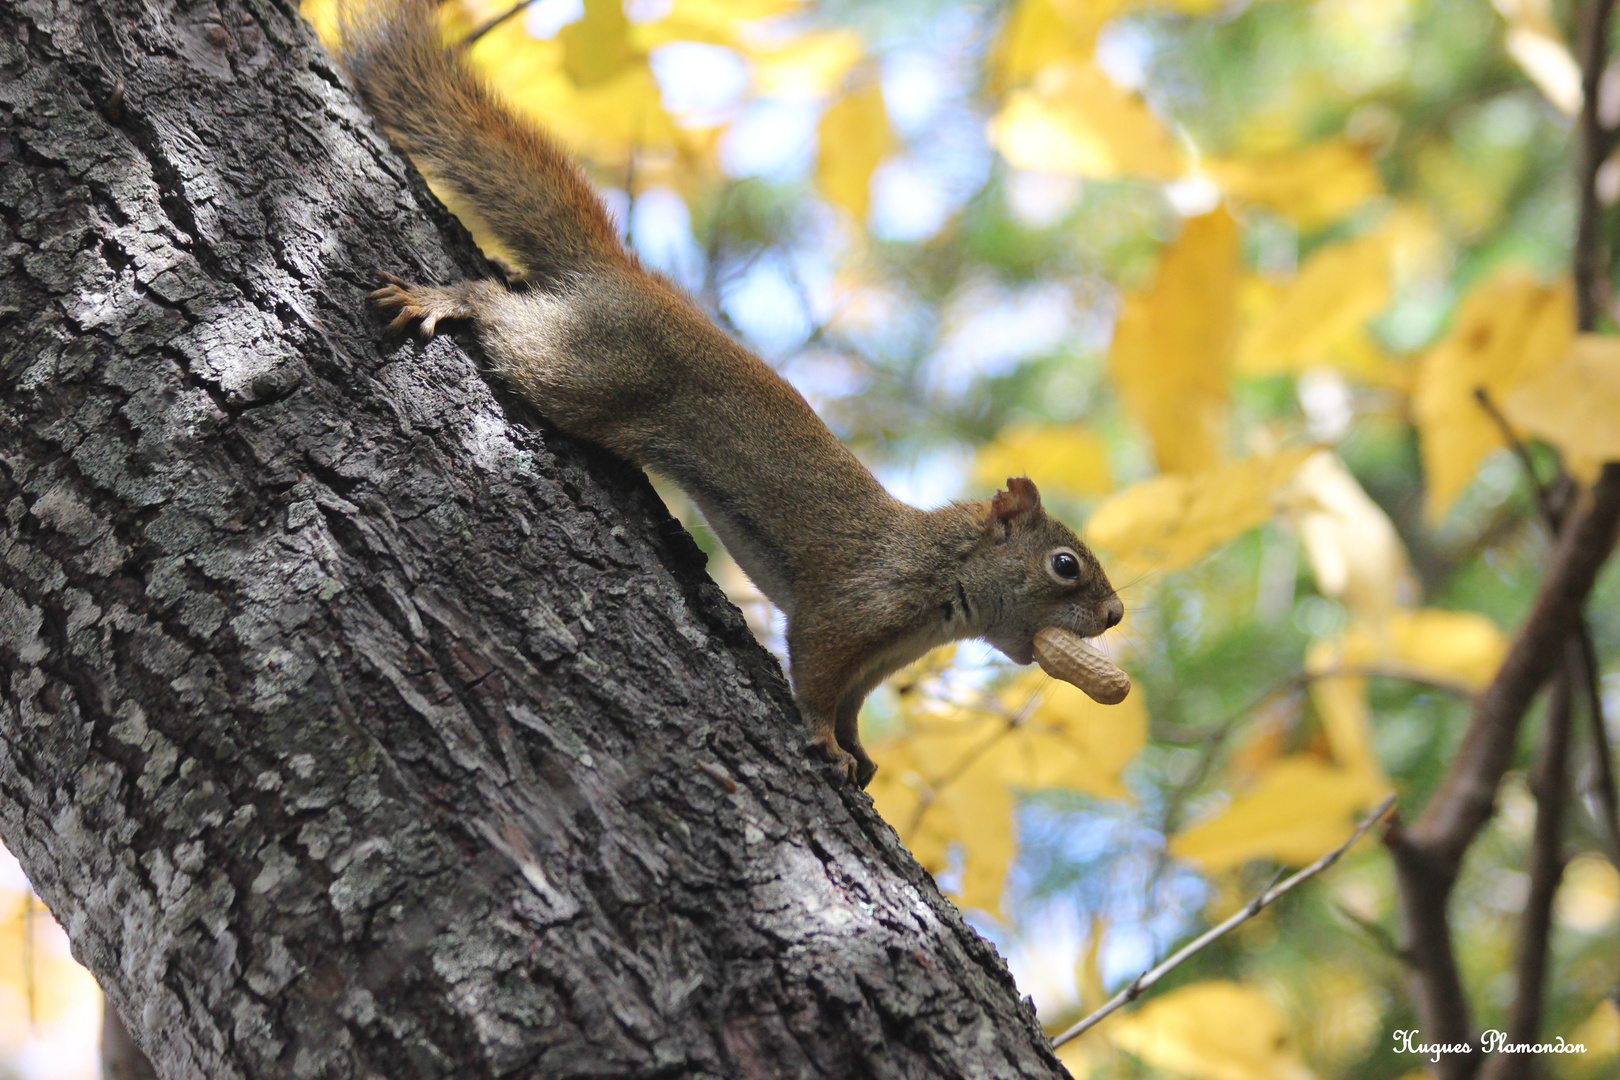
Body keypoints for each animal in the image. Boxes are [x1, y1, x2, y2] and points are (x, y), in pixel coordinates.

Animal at [336, 4, 1134, 790]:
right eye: (1065, 566)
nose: (1117, 613)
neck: (943, 582)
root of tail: (622, 276)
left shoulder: (873, 665)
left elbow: (850, 705)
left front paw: (858, 752)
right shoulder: (851, 610)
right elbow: (816, 681)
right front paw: (827, 743)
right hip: (586, 370)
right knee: (505, 318)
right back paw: (449, 298)